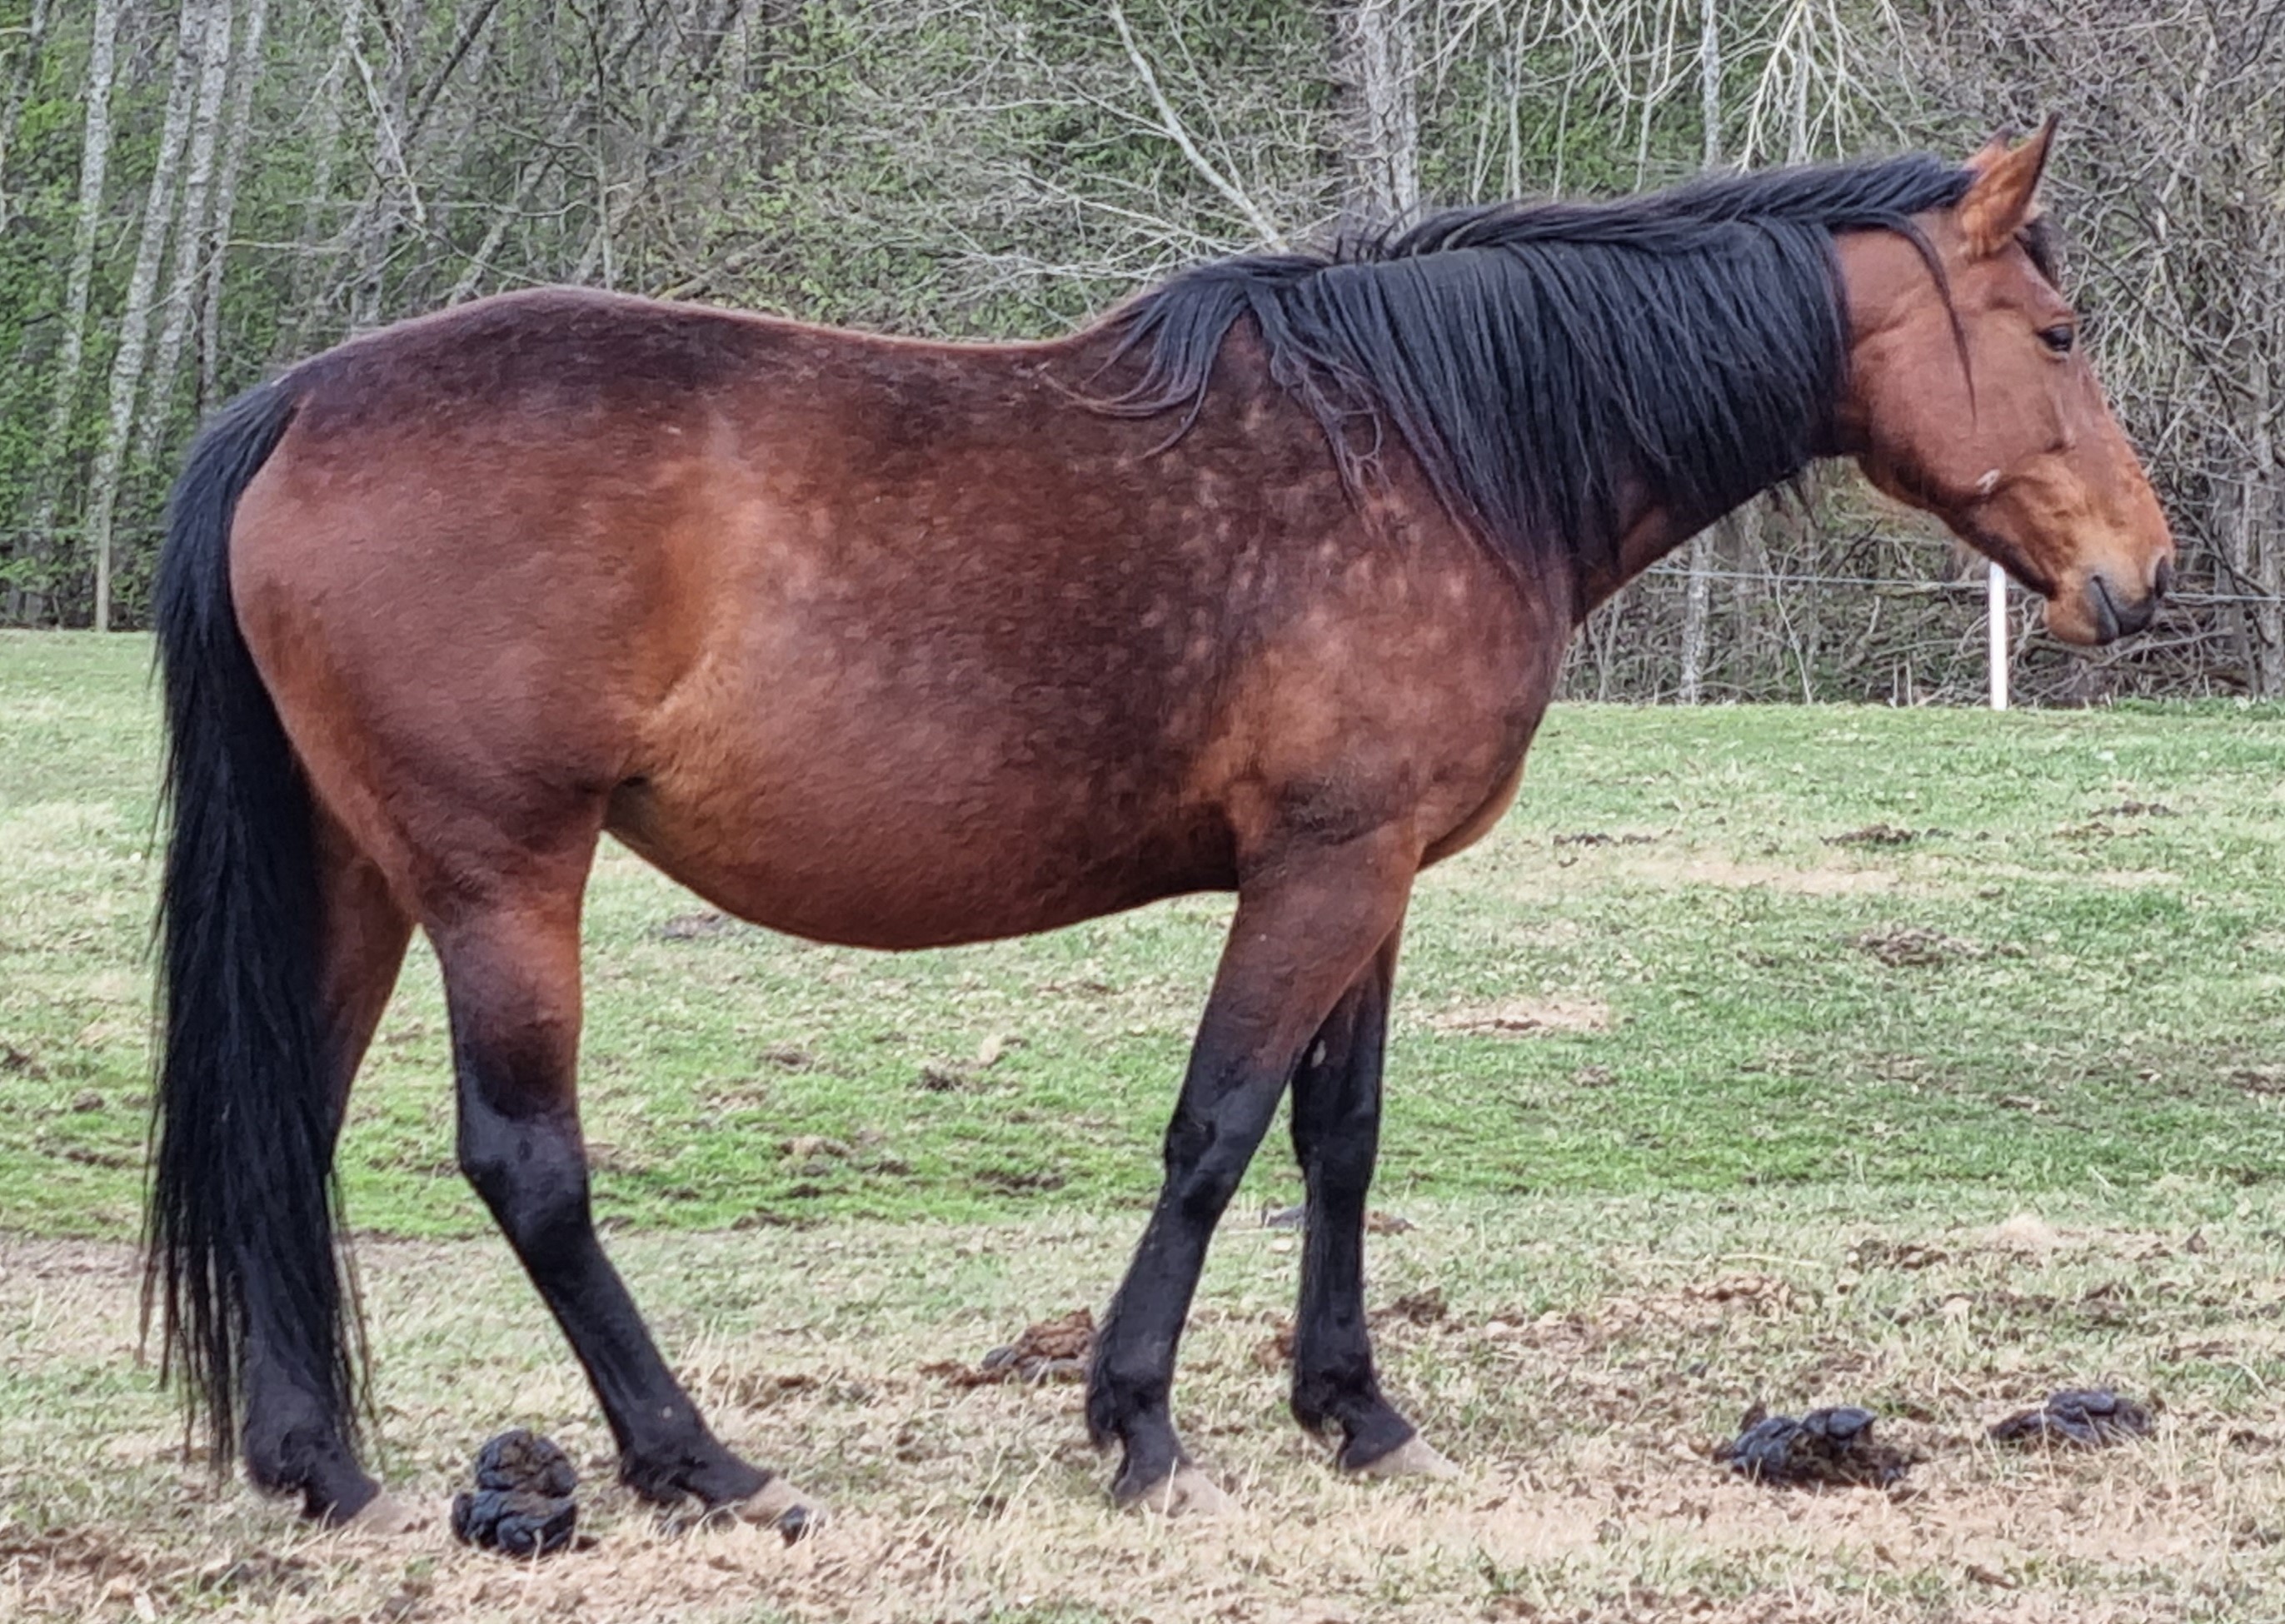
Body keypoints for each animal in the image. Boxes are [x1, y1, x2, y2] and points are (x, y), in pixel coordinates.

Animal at [147, 123, 2171, 1534]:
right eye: (2057, 330)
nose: (2137, 576)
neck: (1434, 448)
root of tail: (300, 400)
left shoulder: (1374, 876)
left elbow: (1339, 1138)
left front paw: (1356, 1414)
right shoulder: (1322, 867)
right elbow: (1216, 1130)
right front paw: (1139, 1427)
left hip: (358, 870)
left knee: (286, 1132)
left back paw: (323, 1470)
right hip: (501, 873)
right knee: (526, 1162)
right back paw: (704, 1467)